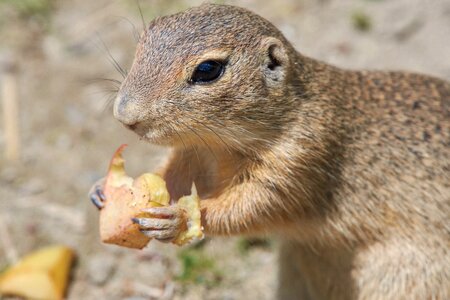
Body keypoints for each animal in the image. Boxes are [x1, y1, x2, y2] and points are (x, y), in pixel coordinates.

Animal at [89, 2, 448, 300]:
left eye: (208, 70)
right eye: (143, 40)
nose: (125, 116)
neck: (221, 145)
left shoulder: (300, 159)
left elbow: (252, 207)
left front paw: (179, 218)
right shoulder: (193, 153)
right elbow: (172, 178)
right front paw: (103, 190)